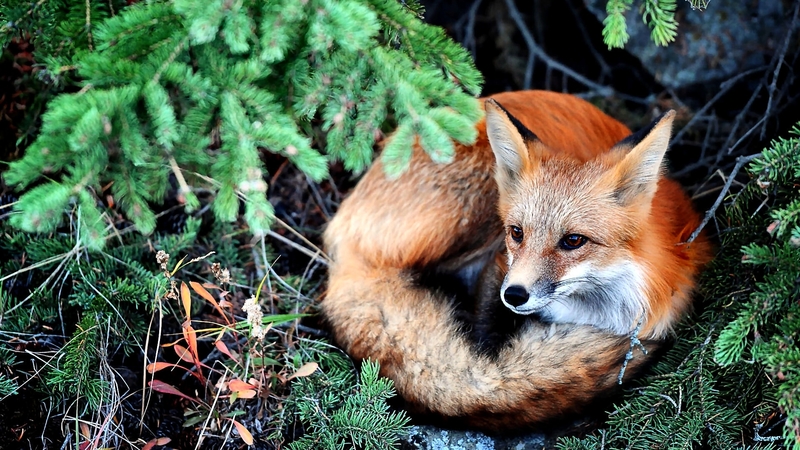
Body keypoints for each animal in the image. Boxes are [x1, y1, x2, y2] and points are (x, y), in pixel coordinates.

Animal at [322, 90, 712, 430]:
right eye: (516, 232)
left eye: (573, 240)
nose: (515, 296)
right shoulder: (499, 262)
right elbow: (480, 367)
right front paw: (482, 376)